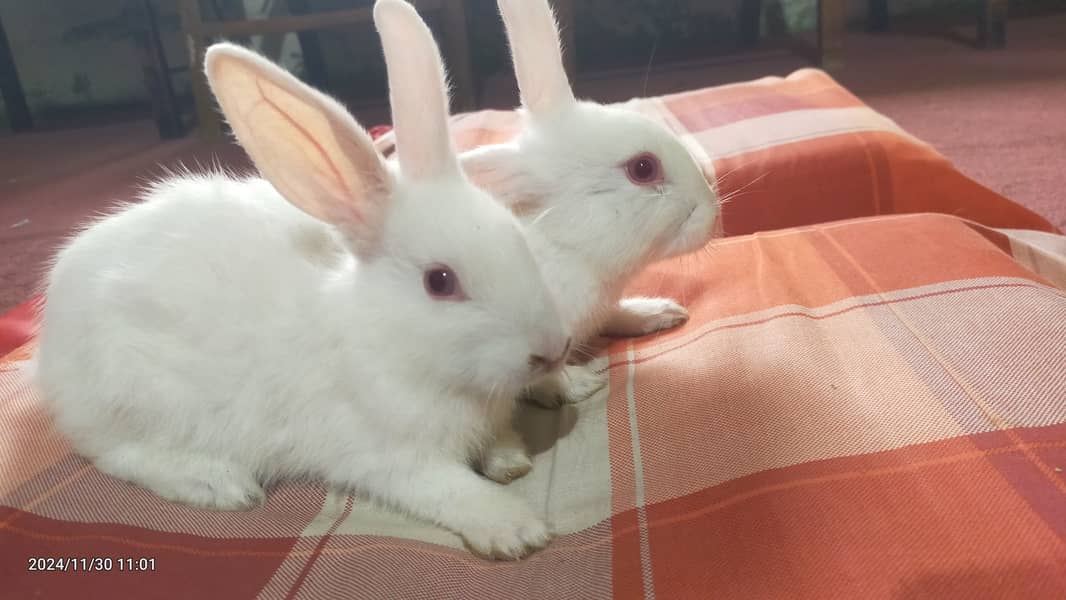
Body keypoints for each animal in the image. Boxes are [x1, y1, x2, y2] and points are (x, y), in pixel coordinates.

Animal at [31, 0, 567, 562]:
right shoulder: (386, 454)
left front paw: (511, 462)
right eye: (440, 282)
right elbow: (449, 490)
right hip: (135, 399)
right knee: (115, 454)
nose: (553, 350)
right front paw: (516, 530)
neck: (385, 339)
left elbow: (501, 443)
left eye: (517, 235)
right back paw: (219, 484)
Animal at [456, 0, 716, 409]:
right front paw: (583, 384)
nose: (713, 212)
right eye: (643, 168)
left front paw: (662, 312)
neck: (568, 249)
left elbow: (615, 315)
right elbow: (535, 378)